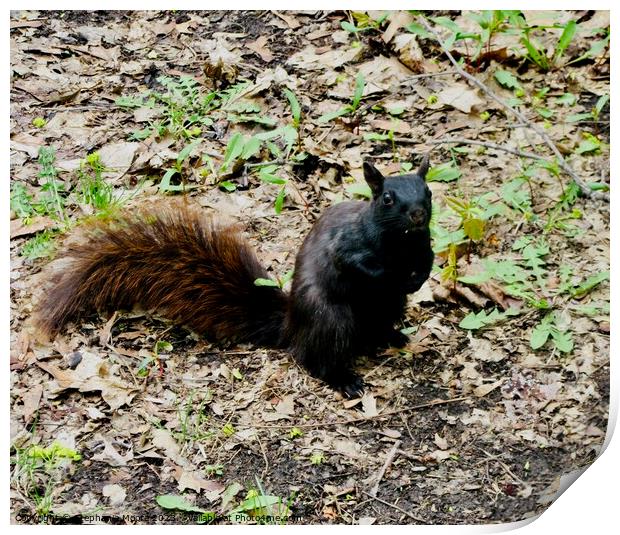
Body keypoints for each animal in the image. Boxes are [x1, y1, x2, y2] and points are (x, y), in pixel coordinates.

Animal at [36, 157, 434, 396]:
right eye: (387, 199)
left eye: (428, 191)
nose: (417, 214)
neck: (402, 243)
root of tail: (292, 325)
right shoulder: (347, 244)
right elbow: (356, 264)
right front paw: (392, 275)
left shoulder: (422, 245)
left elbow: (428, 260)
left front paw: (418, 277)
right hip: (331, 319)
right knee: (315, 360)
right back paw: (344, 379)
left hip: (385, 309)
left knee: (374, 330)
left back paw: (394, 336)